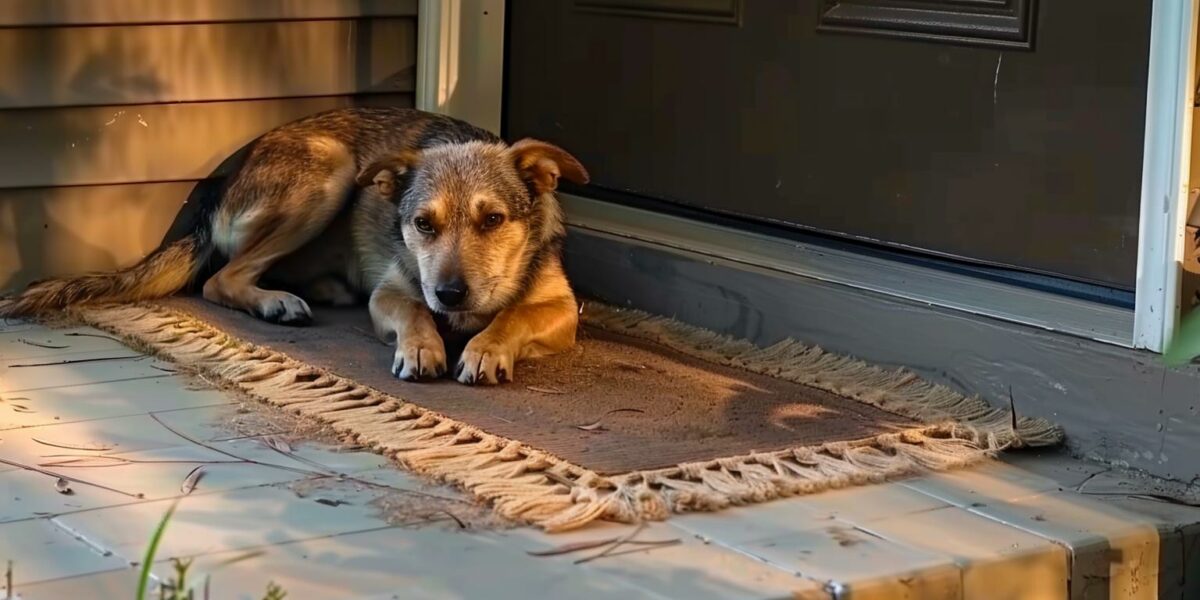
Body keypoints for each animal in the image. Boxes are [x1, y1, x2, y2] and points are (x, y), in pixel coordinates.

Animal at [0, 108, 590, 386]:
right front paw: (423, 346)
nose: (449, 294)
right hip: (332, 167)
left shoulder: (562, 308)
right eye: (423, 224)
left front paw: (486, 347)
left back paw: (322, 289)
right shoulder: (393, 292)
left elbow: (512, 317)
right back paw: (276, 302)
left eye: (493, 220)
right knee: (221, 279)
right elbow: (412, 314)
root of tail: (220, 183)